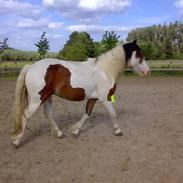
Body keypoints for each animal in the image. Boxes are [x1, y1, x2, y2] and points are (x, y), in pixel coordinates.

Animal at [10, 40, 149, 147]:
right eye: (139, 54)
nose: (147, 71)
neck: (105, 71)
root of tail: (31, 67)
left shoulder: (93, 98)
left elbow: (87, 114)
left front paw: (75, 131)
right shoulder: (105, 98)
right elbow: (112, 113)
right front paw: (118, 131)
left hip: (47, 97)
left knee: (48, 114)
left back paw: (59, 133)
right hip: (37, 99)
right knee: (25, 115)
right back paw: (16, 141)